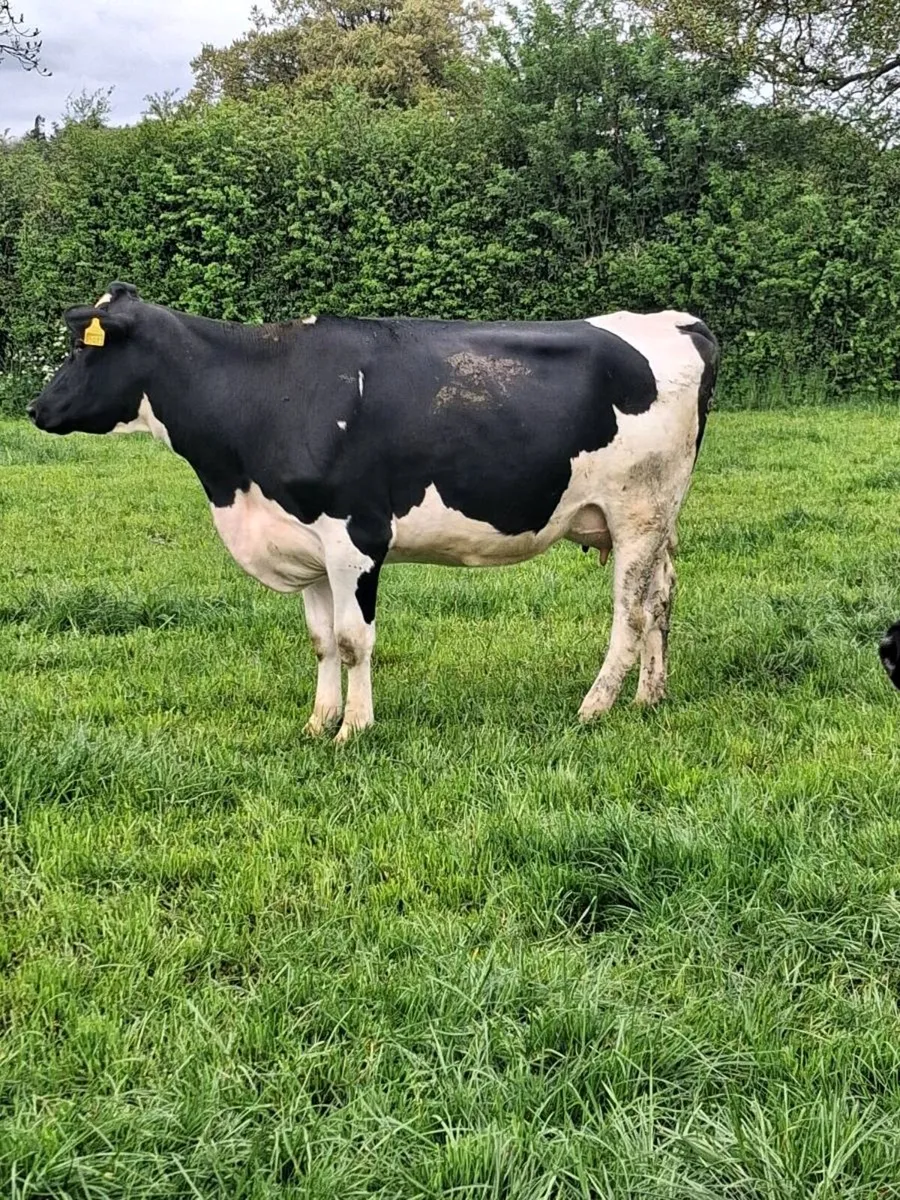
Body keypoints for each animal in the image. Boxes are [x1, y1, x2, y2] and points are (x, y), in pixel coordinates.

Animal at [28, 283, 718, 741]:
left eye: (86, 350)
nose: (36, 408)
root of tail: (680, 322)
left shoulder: (354, 536)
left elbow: (354, 639)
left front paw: (354, 729)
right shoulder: (302, 544)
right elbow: (319, 641)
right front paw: (317, 721)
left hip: (638, 510)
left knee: (630, 611)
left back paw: (595, 707)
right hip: (661, 518)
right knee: (663, 594)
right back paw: (649, 697)